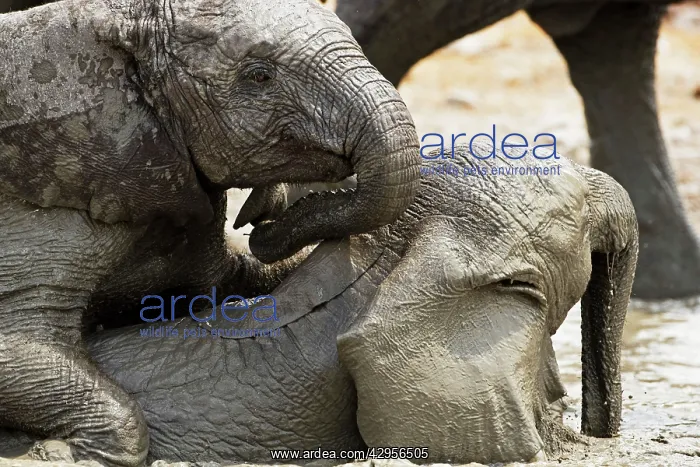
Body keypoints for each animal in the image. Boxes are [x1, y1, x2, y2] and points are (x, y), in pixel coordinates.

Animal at [0, 0, 421, 464]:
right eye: (260, 76)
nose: (260, 220)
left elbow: (231, 285)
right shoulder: (47, 214)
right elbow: (14, 350)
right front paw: (71, 452)